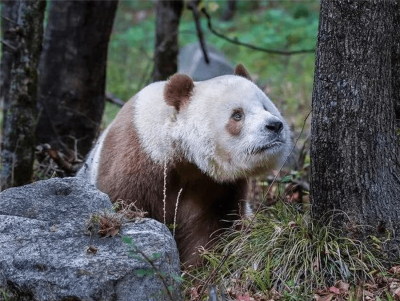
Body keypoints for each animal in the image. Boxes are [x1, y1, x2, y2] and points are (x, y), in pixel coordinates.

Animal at [77, 64, 290, 266]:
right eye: (237, 115)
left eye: (266, 107)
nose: (274, 126)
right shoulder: (136, 159)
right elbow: (125, 203)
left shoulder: (217, 186)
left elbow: (210, 230)